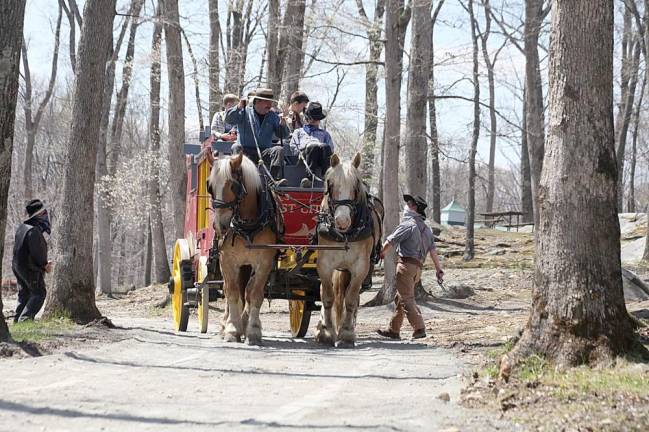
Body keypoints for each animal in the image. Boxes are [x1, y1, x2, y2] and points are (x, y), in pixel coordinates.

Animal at [208, 152, 278, 344]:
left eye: (234, 186)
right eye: (210, 187)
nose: (220, 226)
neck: (247, 226)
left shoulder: (265, 262)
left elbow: (254, 294)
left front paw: (253, 330)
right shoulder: (227, 260)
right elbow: (232, 293)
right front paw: (232, 329)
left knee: (246, 290)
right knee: (230, 290)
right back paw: (227, 325)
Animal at [316, 152, 382, 348]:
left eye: (356, 185)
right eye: (330, 184)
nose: (342, 221)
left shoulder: (360, 267)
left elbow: (351, 299)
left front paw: (346, 333)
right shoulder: (324, 265)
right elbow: (327, 296)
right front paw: (327, 332)